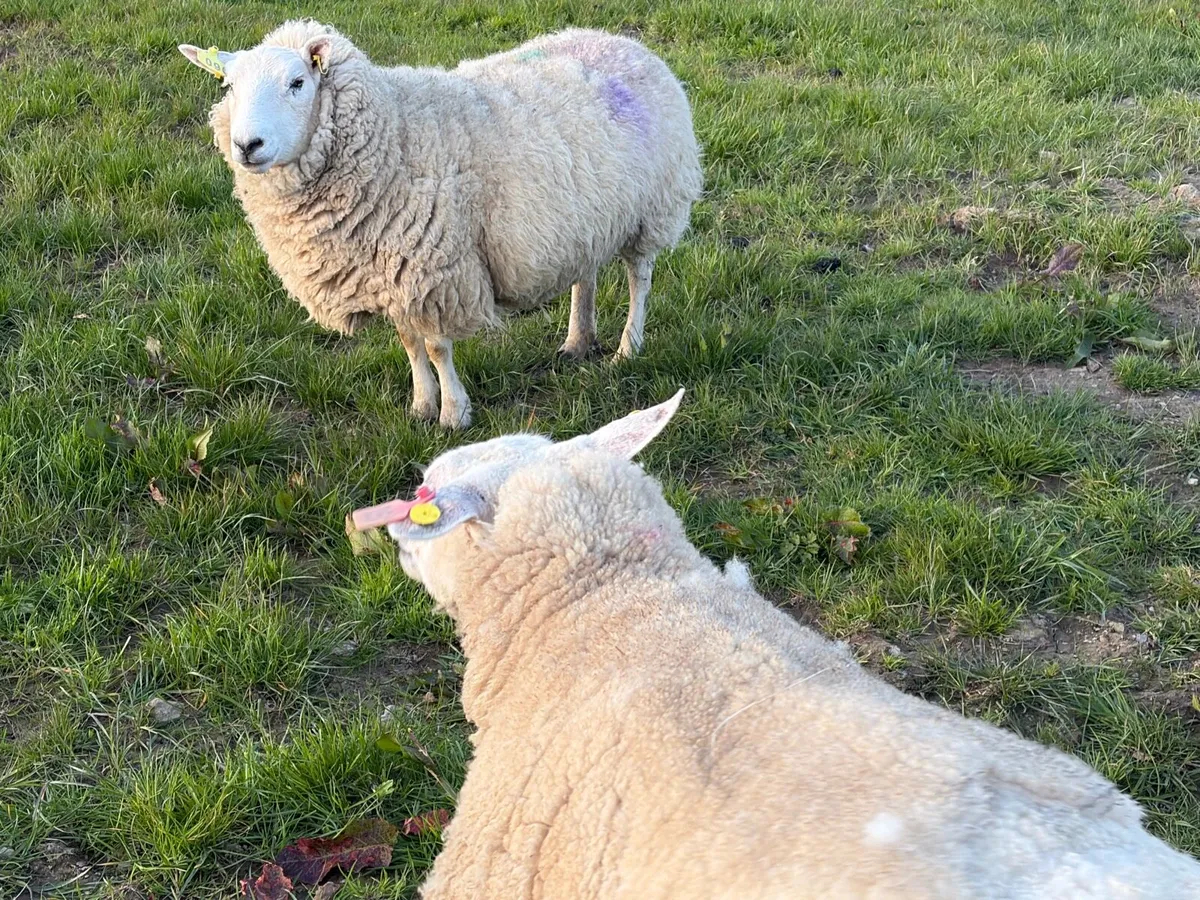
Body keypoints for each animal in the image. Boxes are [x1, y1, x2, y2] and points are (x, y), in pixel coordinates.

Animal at [178, 21, 703, 429]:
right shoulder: (388, 272)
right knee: (586, 275)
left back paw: (628, 348)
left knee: (639, 278)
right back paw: (578, 340)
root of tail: (622, 41)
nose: (248, 146)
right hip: (588, 217)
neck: (394, 133)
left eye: (296, 83)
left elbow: (435, 348)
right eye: (229, 87)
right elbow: (410, 345)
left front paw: (453, 414)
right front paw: (420, 406)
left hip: (653, 209)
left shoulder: (435, 271)